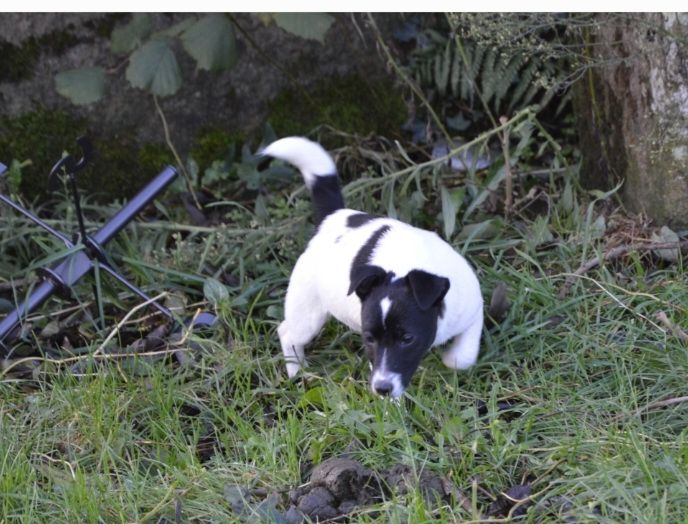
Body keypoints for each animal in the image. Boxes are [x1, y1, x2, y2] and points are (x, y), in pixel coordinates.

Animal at [264, 136, 484, 398]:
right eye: (369, 338)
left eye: (407, 338)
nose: (382, 389)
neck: (406, 261)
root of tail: (332, 217)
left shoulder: (474, 309)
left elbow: (464, 357)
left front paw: (452, 357)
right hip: (308, 310)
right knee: (287, 333)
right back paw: (297, 370)